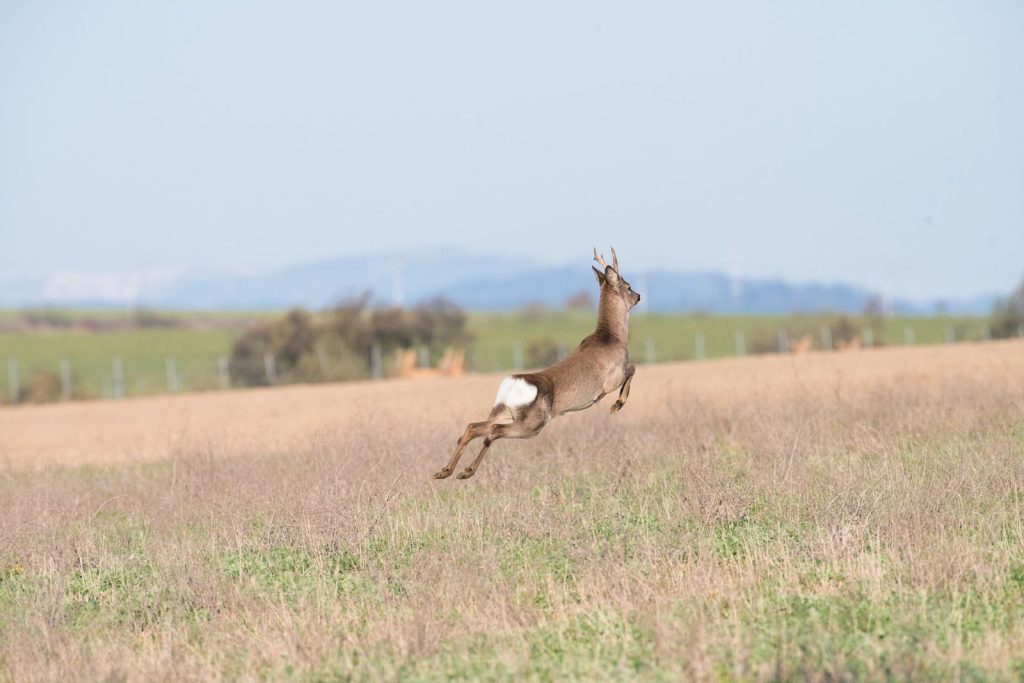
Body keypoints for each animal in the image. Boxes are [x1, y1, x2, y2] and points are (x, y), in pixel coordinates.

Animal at [433, 248, 641, 480]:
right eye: (628, 285)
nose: (639, 296)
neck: (612, 337)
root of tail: (512, 384)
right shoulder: (610, 380)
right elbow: (632, 368)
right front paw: (617, 405)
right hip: (532, 423)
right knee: (494, 431)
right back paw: (466, 471)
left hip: (503, 412)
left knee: (473, 427)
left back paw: (445, 471)